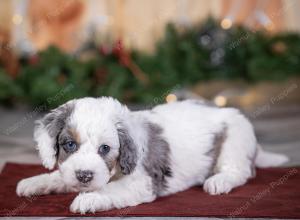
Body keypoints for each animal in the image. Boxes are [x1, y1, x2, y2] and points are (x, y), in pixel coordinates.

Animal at [16, 97, 288, 213]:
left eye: (105, 149)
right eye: (70, 144)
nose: (84, 175)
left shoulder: (141, 182)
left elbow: (111, 189)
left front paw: (89, 199)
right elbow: (60, 176)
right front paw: (34, 182)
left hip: (235, 140)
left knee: (241, 171)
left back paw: (219, 181)